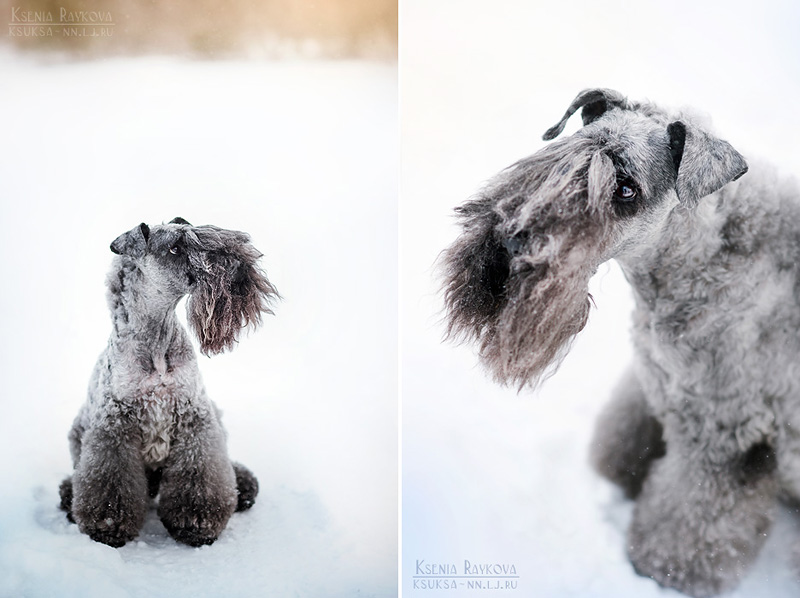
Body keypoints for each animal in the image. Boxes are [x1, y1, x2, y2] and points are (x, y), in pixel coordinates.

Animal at [59, 219, 278, 548]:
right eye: (175, 247)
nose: (240, 269)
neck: (158, 342)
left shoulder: (195, 418)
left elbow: (201, 473)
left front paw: (196, 523)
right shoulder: (115, 424)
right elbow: (110, 479)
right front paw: (108, 525)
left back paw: (244, 486)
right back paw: (67, 494)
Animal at [440, 90, 800, 598]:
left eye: (626, 188)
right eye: (555, 158)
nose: (508, 245)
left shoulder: (722, 436)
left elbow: (691, 517)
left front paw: (662, 571)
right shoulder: (654, 382)